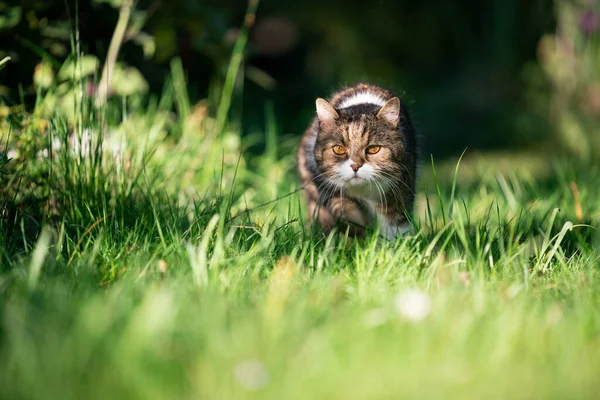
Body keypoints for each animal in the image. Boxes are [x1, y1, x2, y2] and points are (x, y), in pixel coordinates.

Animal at [296, 83, 418, 239]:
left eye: (373, 149)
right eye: (339, 149)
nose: (355, 166)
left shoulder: (400, 188)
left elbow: (396, 224)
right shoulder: (324, 186)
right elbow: (344, 210)